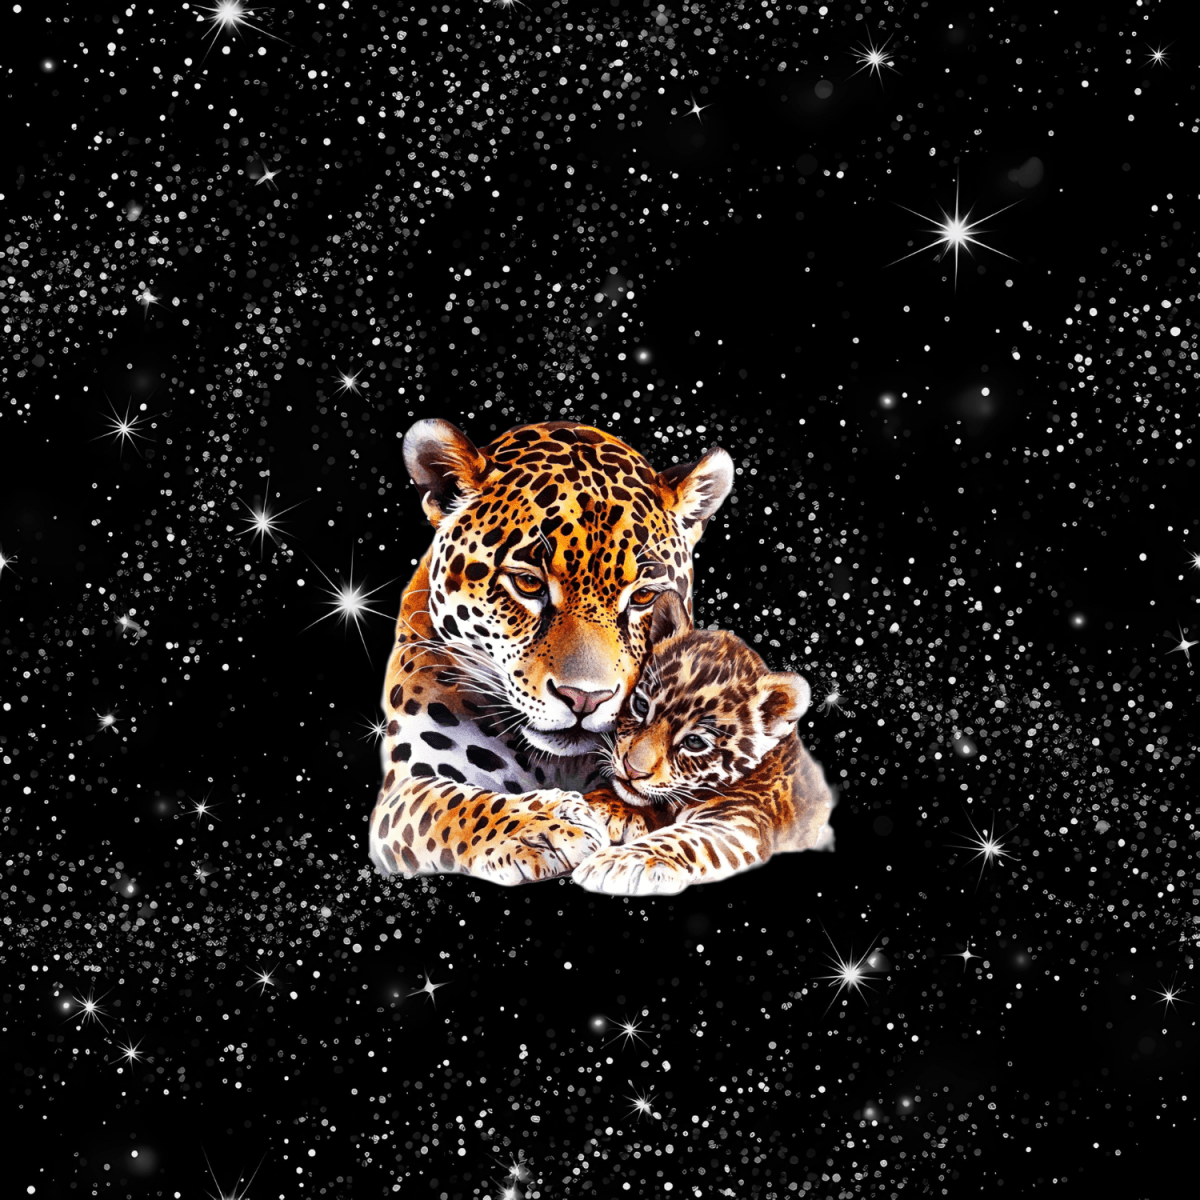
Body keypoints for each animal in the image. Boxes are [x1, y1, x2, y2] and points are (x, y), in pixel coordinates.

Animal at [367, 417, 735, 886]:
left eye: (643, 596)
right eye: (528, 584)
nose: (585, 698)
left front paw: (617, 810)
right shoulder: (402, 788)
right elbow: (445, 805)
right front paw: (545, 828)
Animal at [572, 590, 835, 896]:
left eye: (695, 742)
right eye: (641, 705)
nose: (632, 770)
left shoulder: (738, 823)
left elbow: (681, 839)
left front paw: (619, 862)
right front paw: (599, 803)